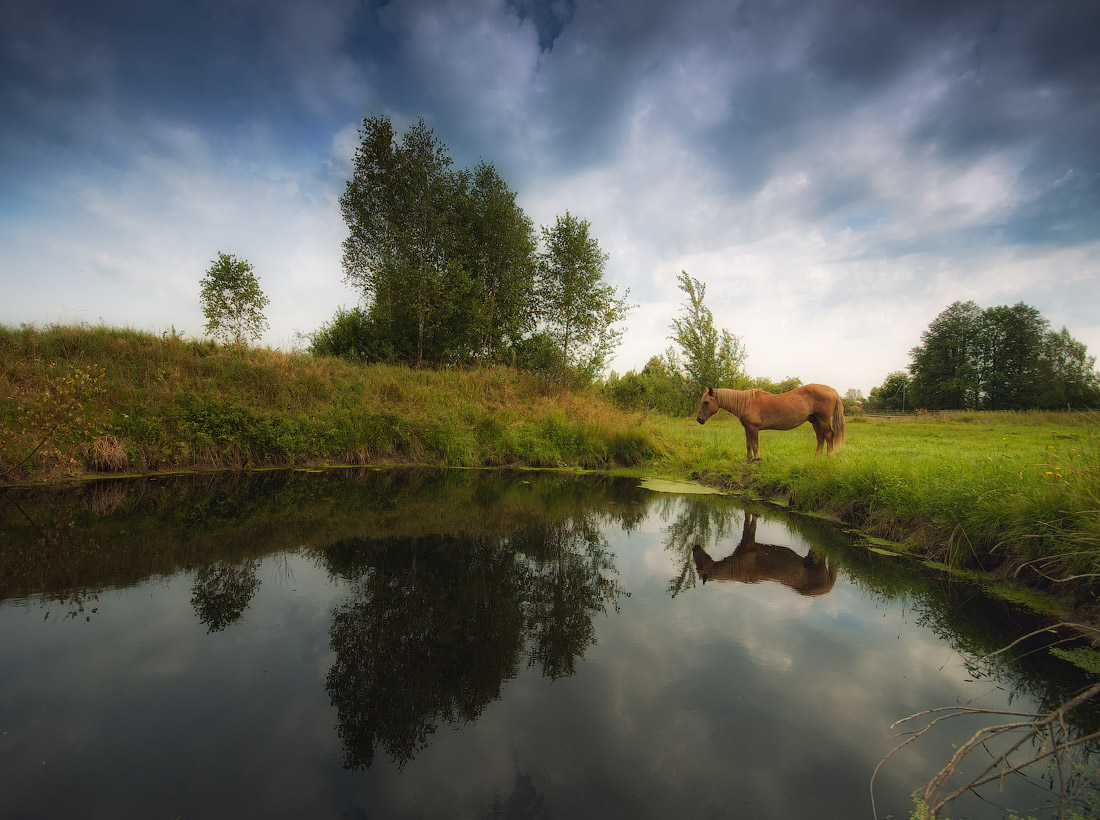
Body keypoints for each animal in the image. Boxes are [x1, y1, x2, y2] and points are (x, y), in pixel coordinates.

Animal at [690, 510, 836, 594]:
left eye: (700, 566)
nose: (695, 547)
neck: (737, 566)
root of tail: (828, 587)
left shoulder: (749, 541)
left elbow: (749, 524)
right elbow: (748, 519)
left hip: (817, 561)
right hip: (811, 558)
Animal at [699, 383, 844, 460]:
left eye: (706, 402)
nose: (699, 419)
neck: (746, 403)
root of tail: (833, 390)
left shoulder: (754, 428)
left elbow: (755, 444)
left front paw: (757, 459)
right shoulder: (747, 428)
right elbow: (748, 444)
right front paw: (748, 459)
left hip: (823, 420)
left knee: (829, 436)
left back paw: (830, 456)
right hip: (815, 421)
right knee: (820, 438)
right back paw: (816, 457)